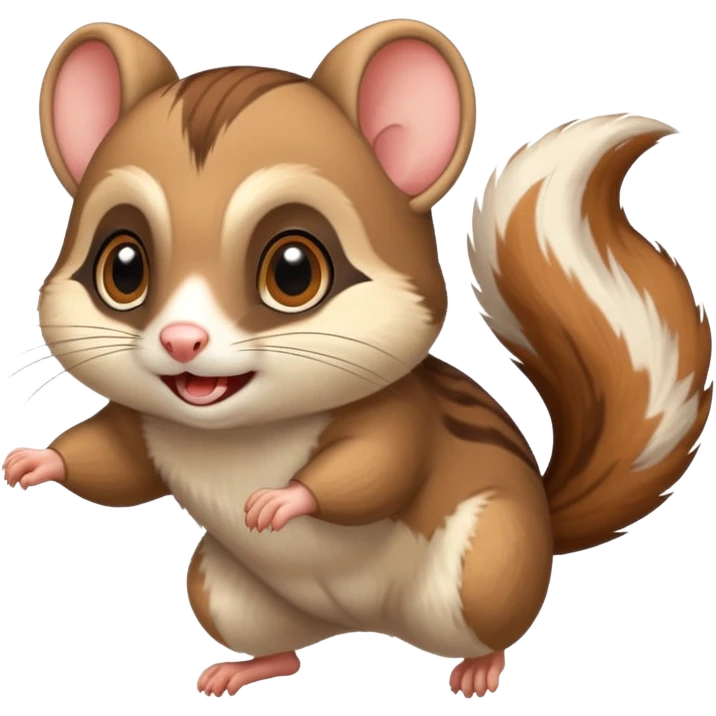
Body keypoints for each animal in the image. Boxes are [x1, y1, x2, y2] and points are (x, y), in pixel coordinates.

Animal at [4, 18, 712, 700]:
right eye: (123, 267)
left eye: (294, 270)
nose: (183, 340)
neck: (237, 436)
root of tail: (361, 624)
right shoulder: (150, 428)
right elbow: (114, 463)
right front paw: (35, 461)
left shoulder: (398, 415)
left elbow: (376, 467)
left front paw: (280, 501)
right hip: (221, 586)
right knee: (288, 651)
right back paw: (246, 668)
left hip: (488, 562)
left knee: (496, 621)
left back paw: (480, 669)